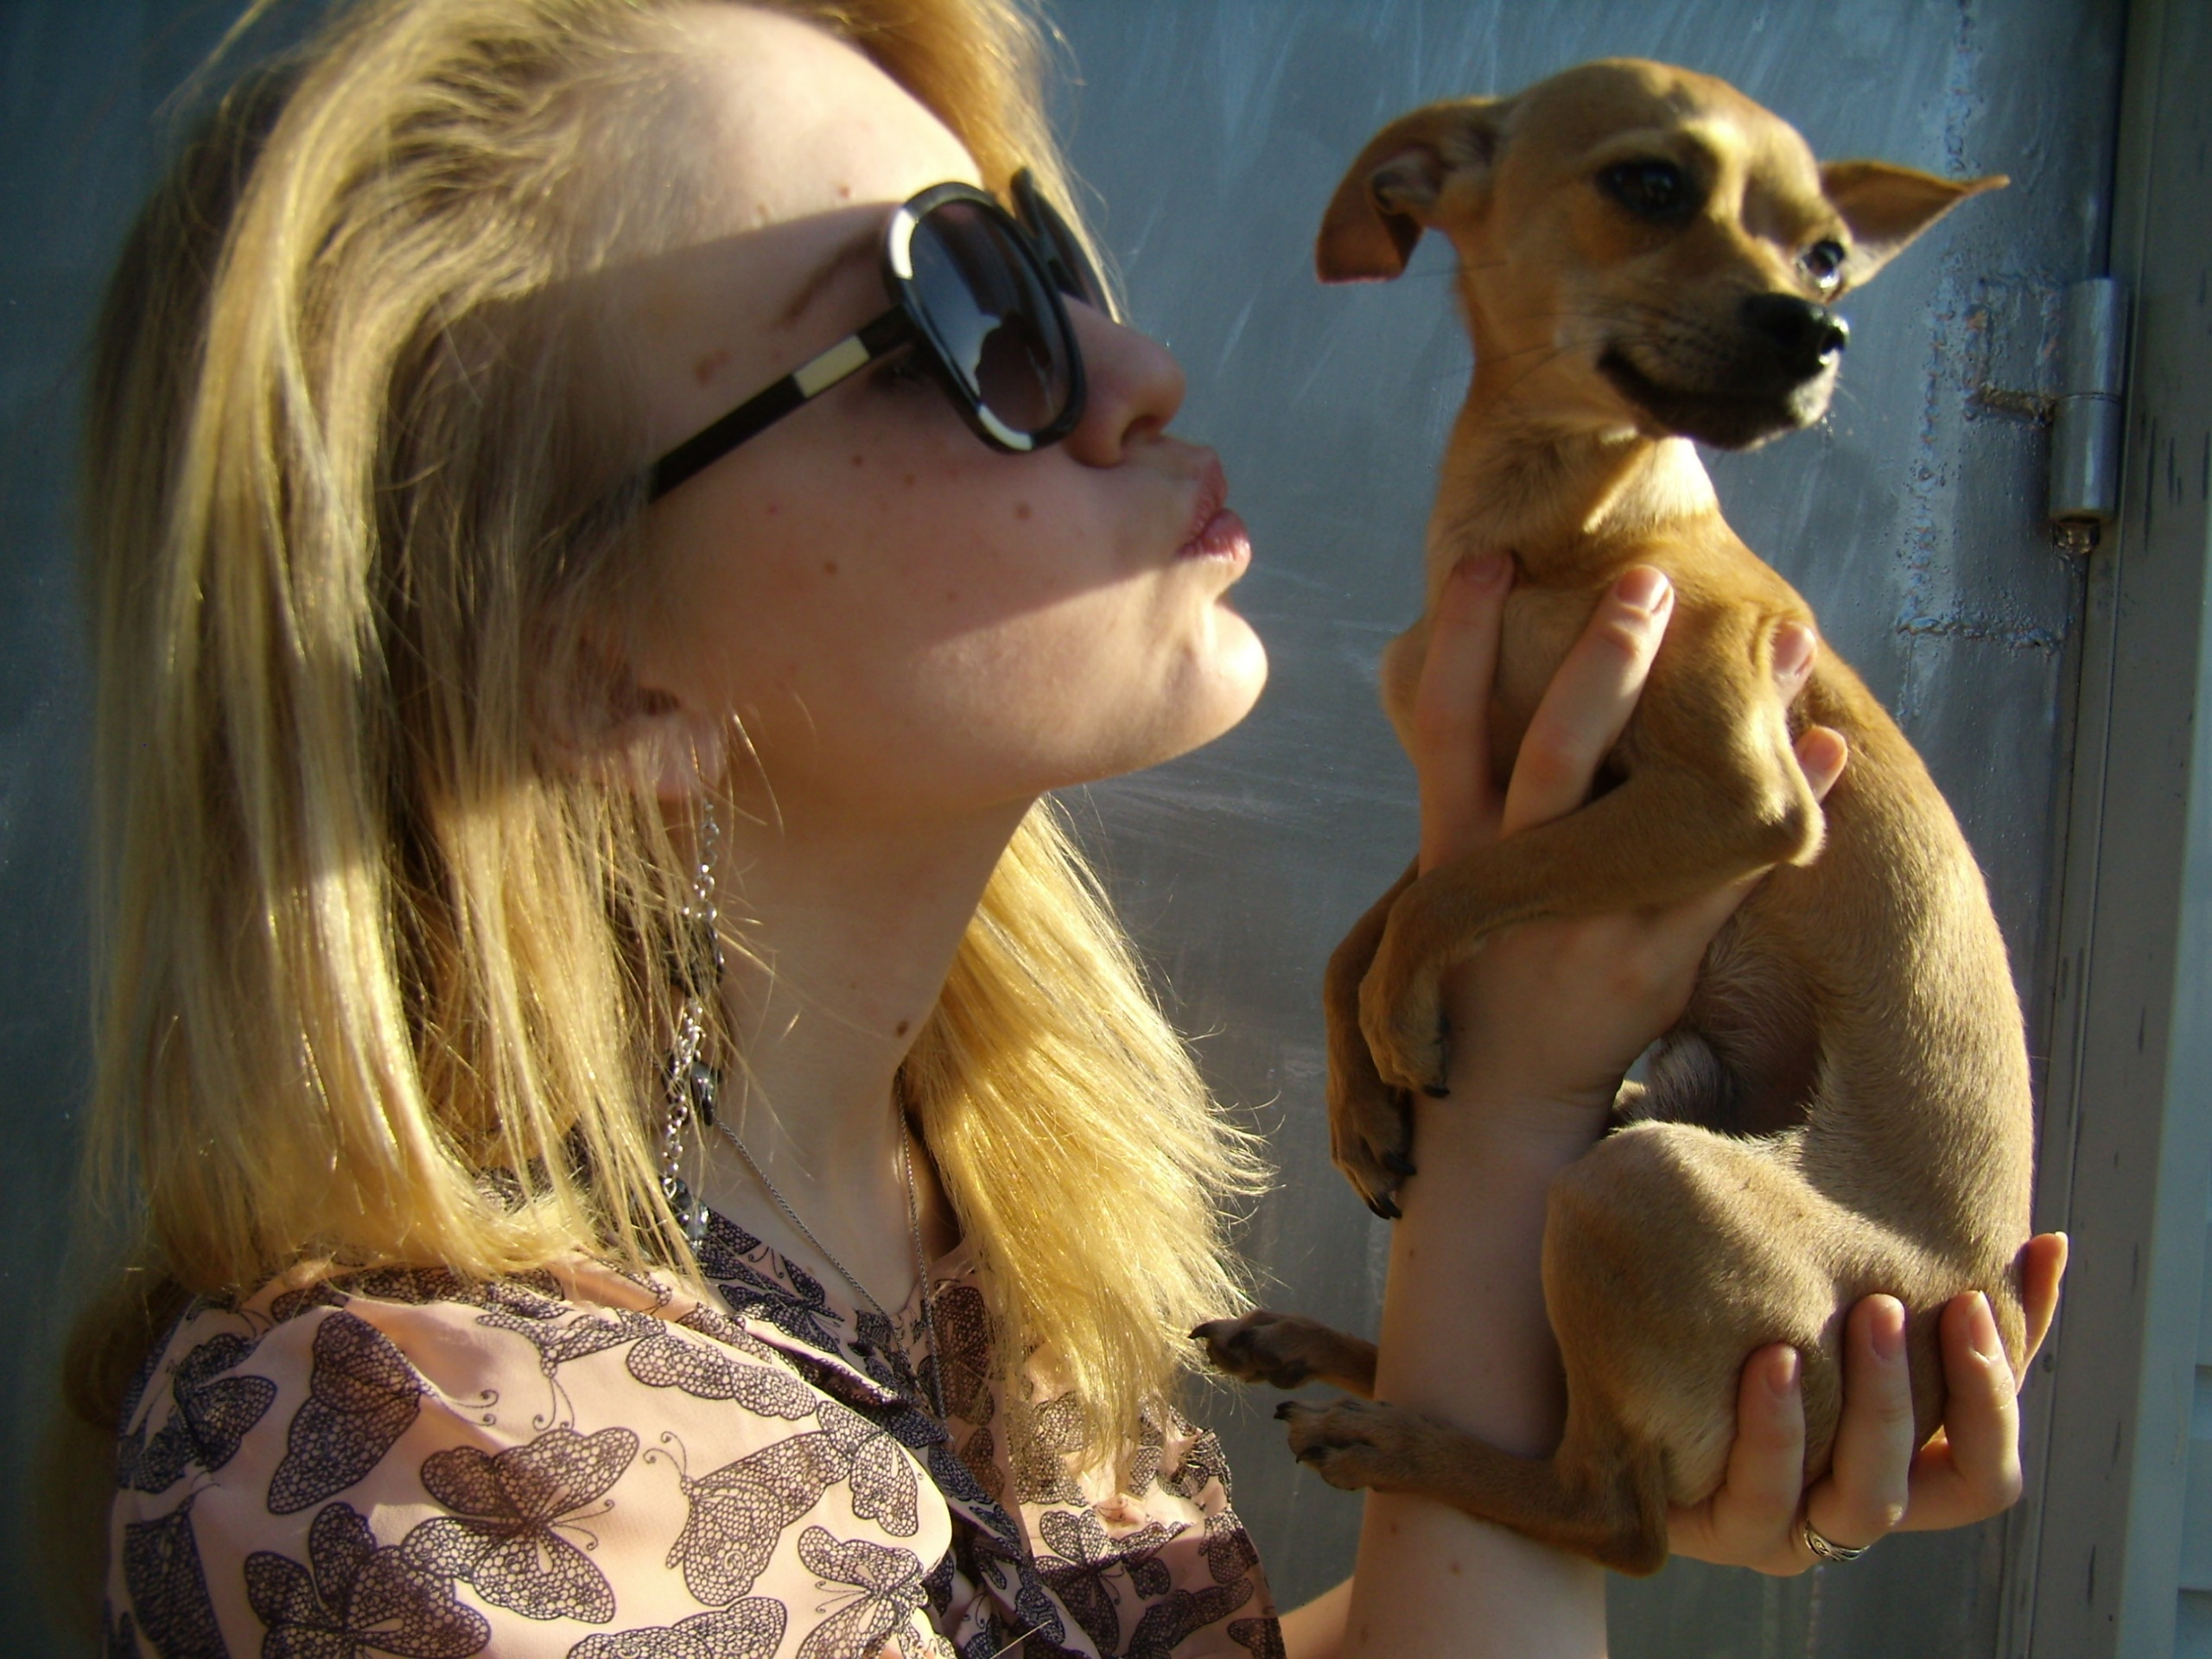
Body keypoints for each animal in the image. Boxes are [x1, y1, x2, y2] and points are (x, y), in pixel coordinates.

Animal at [1195, 59, 2032, 1575]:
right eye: (1651, 184)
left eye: (1829, 251)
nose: (1817, 327)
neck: (1561, 521)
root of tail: (1976, 1309)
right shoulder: (1475, 793)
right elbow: (1362, 932)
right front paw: (1361, 1101)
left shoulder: (1729, 794)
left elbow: (1445, 901)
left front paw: (1400, 1021)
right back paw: (1319, 1353)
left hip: (1634, 1188)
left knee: (1611, 1511)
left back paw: (1396, 1439)